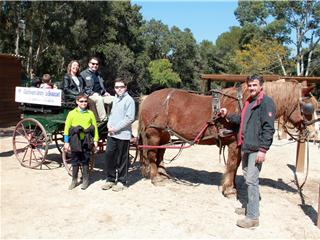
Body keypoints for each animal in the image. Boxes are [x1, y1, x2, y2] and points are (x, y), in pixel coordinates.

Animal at [138, 81, 318, 197]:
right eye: (309, 108)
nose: (314, 134)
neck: (245, 104)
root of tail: (147, 98)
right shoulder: (233, 144)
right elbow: (231, 165)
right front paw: (229, 190)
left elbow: (236, 166)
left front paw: (233, 186)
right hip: (154, 134)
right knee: (152, 154)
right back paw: (156, 177)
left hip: (165, 134)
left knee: (160, 153)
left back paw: (162, 173)